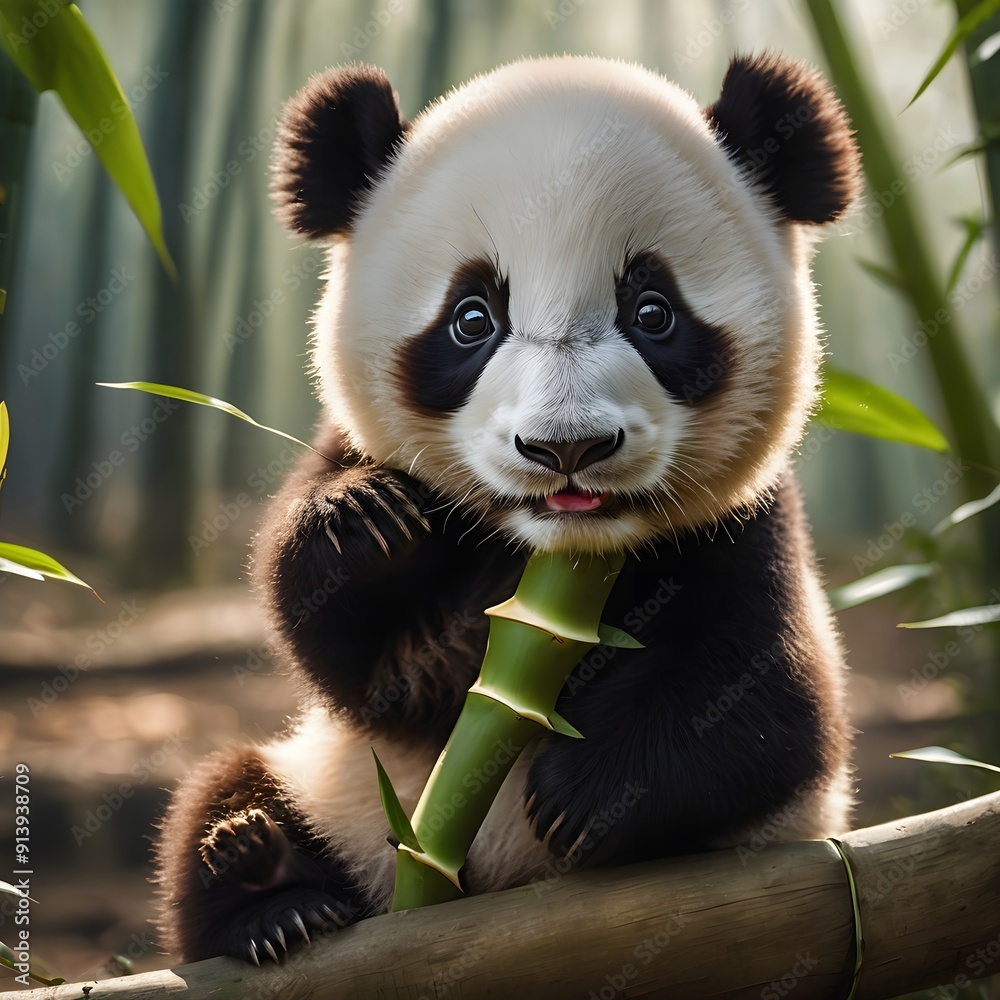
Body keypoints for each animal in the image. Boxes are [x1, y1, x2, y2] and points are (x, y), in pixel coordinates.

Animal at [155, 52, 860, 965]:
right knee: (221, 793)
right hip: (334, 792)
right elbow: (359, 664)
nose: (567, 448)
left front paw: (584, 794)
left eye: (653, 312)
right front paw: (367, 528)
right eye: (472, 319)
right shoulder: (362, 466)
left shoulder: (746, 528)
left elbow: (773, 700)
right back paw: (266, 884)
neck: (553, 557)